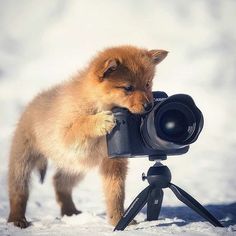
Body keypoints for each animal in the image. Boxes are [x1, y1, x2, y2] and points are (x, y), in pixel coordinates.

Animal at [7, 45, 168, 228]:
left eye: (148, 84)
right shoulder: (64, 135)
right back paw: (17, 219)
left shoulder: (113, 162)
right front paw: (100, 121)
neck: (97, 104)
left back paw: (70, 212)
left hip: (75, 166)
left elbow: (116, 194)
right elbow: (81, 125)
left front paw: (118, 219)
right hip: (22, 161)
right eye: (128, 88)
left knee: (59, 182)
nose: (149, 106)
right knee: (18, 192)